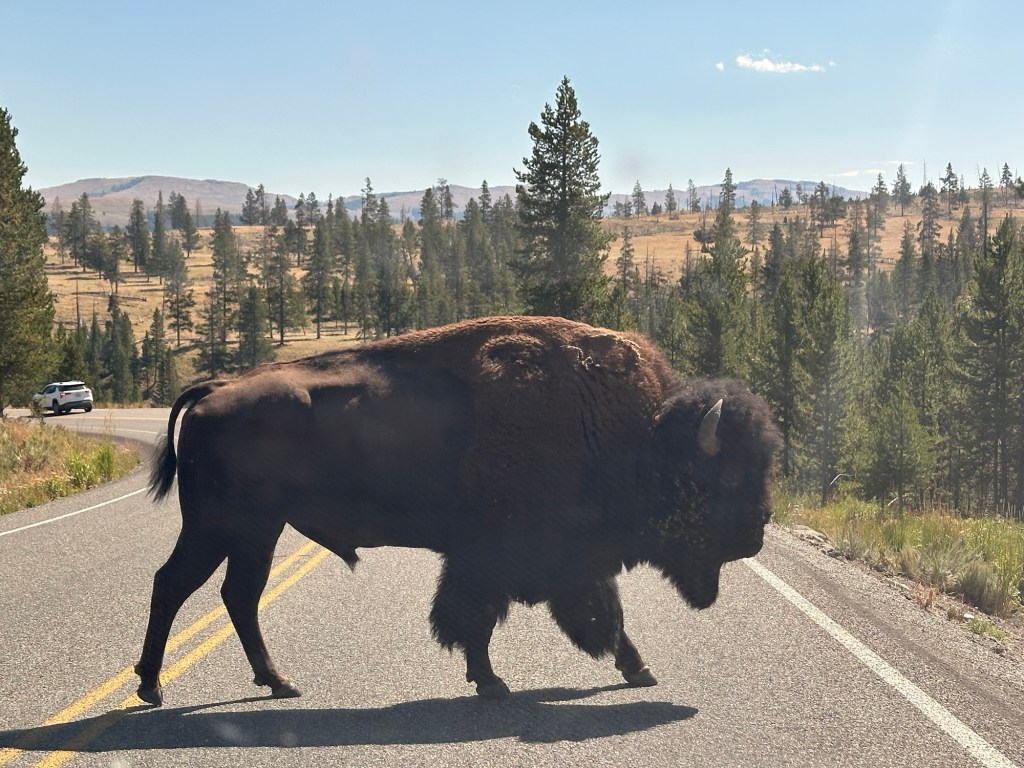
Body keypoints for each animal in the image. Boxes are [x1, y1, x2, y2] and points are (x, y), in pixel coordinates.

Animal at [136, 316, 780, 705]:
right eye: (726, 476)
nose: (755, 535)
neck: (634, 434)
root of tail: (214, 390)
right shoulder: (509, 556)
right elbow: (491, 616)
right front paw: (494, 683)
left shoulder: (534, 560)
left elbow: (573, 616)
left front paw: (635, 669)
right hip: (224, 526)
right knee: (176, 584)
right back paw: (153, 689)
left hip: (257, 531)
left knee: (234, 595)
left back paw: (278, 683)